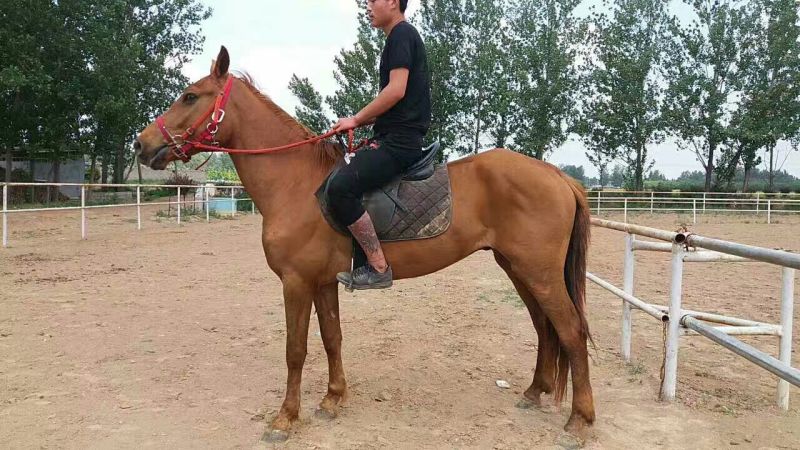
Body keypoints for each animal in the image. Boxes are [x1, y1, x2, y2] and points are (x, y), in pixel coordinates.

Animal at [135, 46, 594, 442]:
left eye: (190, 96)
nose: (142, 143)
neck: (296, 183)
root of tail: (558, 176)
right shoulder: (323, 282)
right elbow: (332, 338)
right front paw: (333, 398)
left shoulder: (296, 282)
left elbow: (296, 349)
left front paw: (285, 418)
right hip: (519, 269)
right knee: (545, 328)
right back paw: (535, 392)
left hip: (538, 272)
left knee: (570, 331)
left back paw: (580, 420)